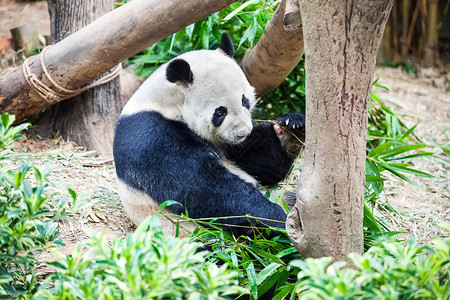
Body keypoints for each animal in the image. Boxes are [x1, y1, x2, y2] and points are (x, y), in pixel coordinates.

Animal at [113, 33, 306, 237]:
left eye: (244, 100)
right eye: (220, 112)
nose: (243, 133)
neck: (169, 102)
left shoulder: (226, 143)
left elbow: (260, 165)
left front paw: (291, 130)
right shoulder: (153, 135)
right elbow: (202, 188)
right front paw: (276, 218)